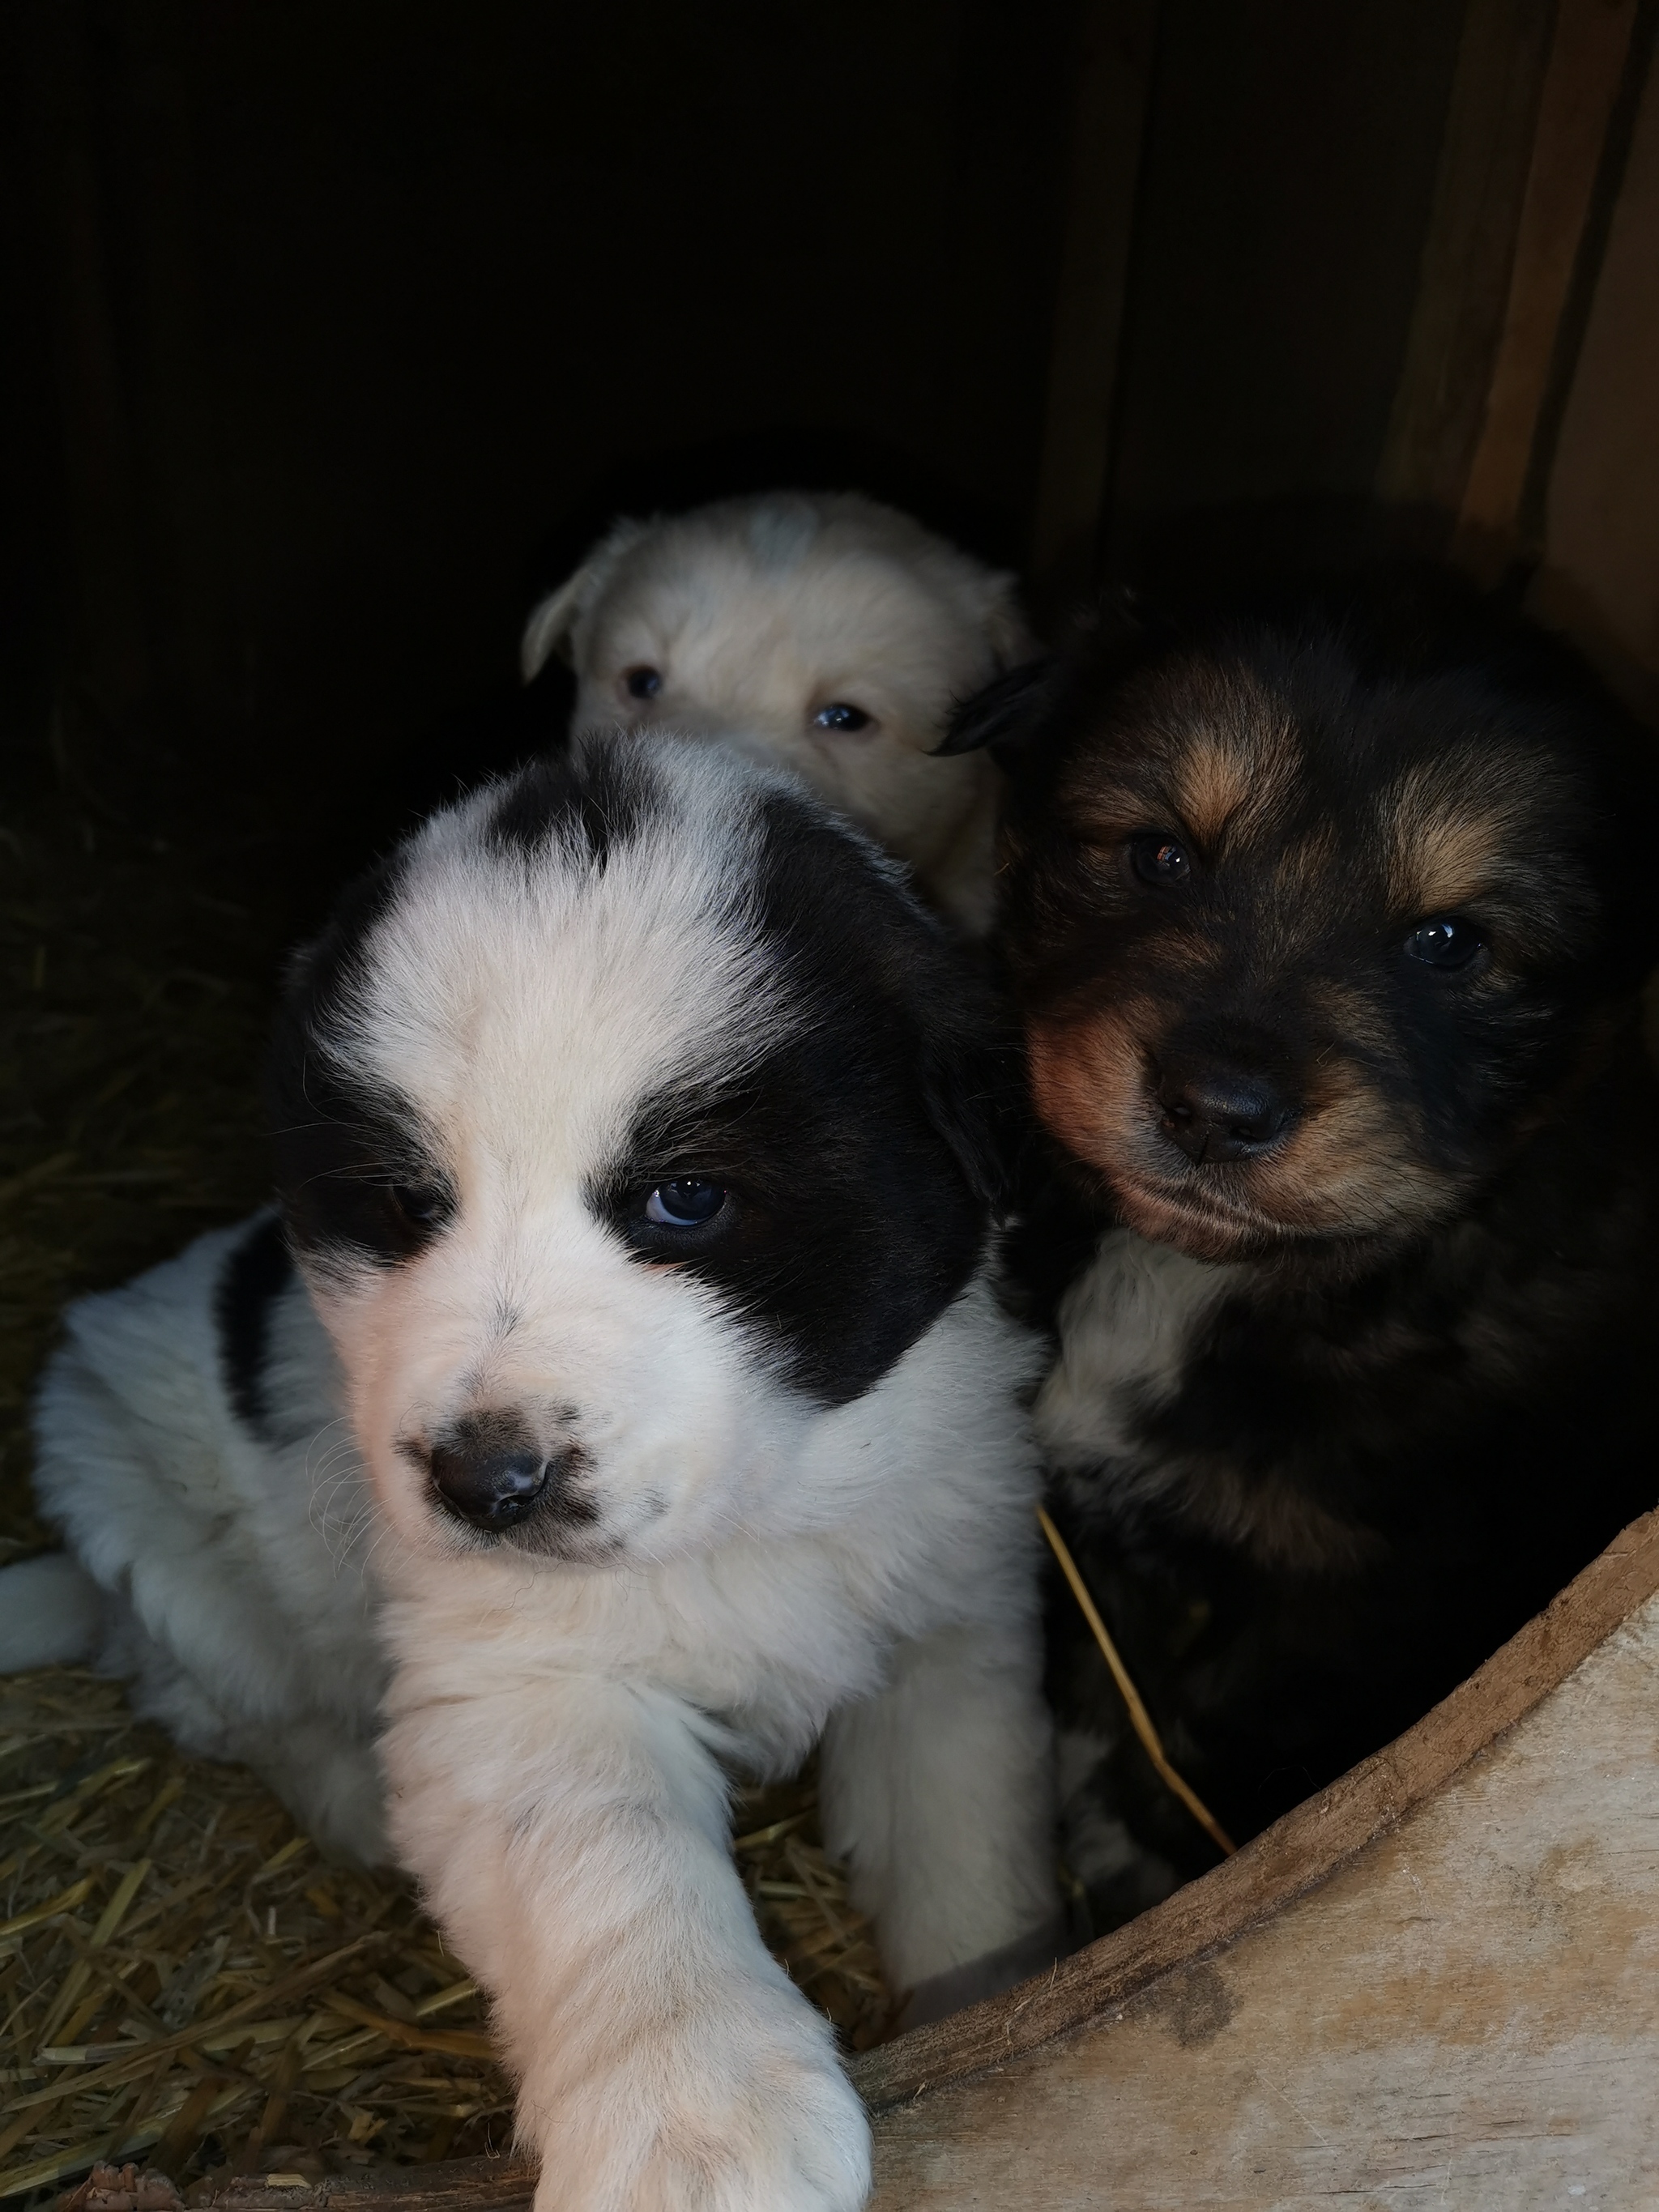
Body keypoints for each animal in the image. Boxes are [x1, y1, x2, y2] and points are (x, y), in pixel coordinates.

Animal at [3, 739, 1066, 2212]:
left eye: (685, 1198)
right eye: (407, 1202)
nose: (483, 1482)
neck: (757, 1509)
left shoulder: (952, 1622)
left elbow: (969, 1845)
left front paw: (992, 2000)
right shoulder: (520, 1685)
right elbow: (609, 1858)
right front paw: (695, 2117)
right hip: (132, 1484)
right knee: (234, 1697)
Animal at [946, 575, 1659, 1937]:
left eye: (1449, 941)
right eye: (1161, 855)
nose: (1215, 1107)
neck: (1191, 1274)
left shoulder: (1354, 1599)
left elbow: (1210, 1724)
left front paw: (1151, 1868)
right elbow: (1096, 1661)